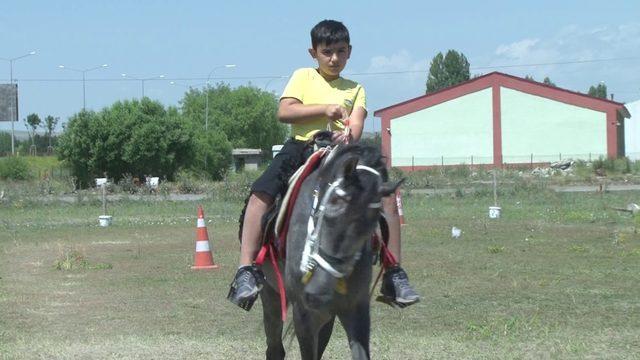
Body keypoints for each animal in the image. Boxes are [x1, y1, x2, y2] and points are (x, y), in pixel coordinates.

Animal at [260, 144, 400, 360]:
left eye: (373, 222)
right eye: (332, 203)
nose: (317, 292)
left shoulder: (355, 307)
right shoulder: (303, 313)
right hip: (271, 294)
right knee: (275, 347)